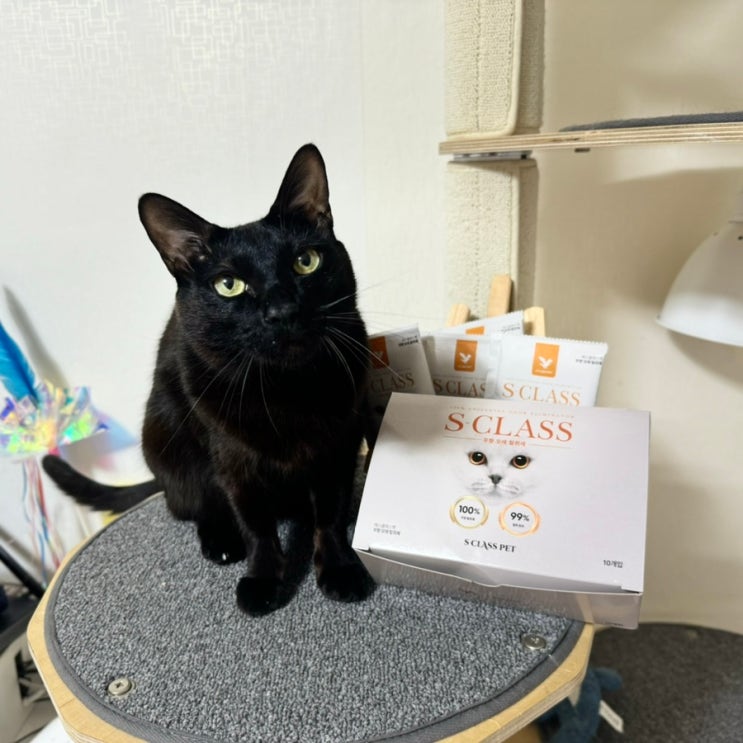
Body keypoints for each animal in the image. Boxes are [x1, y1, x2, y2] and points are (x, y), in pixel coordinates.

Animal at [43, 143, 374, 616]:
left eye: (305, 261)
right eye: (228, 284)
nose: (282, 311)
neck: (286, 390)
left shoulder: (339, 445)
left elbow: (329, 513)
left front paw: (340, 569)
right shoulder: (233, 461)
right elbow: (256, 525)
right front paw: (263, 579)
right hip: (167, 442)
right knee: (190, 502)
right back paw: (219, 540)